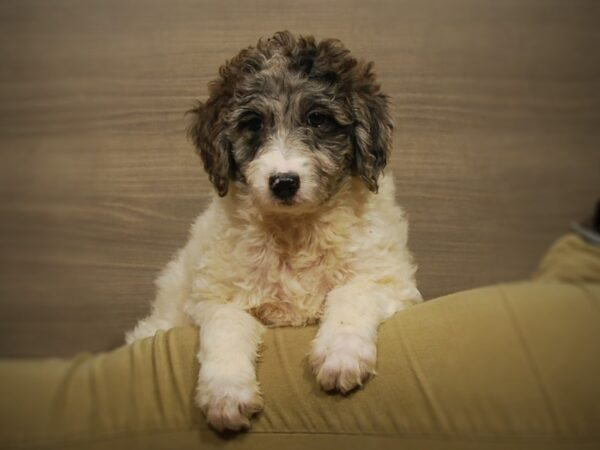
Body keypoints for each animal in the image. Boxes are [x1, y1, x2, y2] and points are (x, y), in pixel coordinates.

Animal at [125, 31, 422, 432]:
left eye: (317, 119)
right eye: (253, 123)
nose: (283, 182)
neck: (294, 229)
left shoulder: (390, 279)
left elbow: (353, 292)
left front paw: (341, 353)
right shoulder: (215, 296)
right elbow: (225, 327)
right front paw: (226, 394)